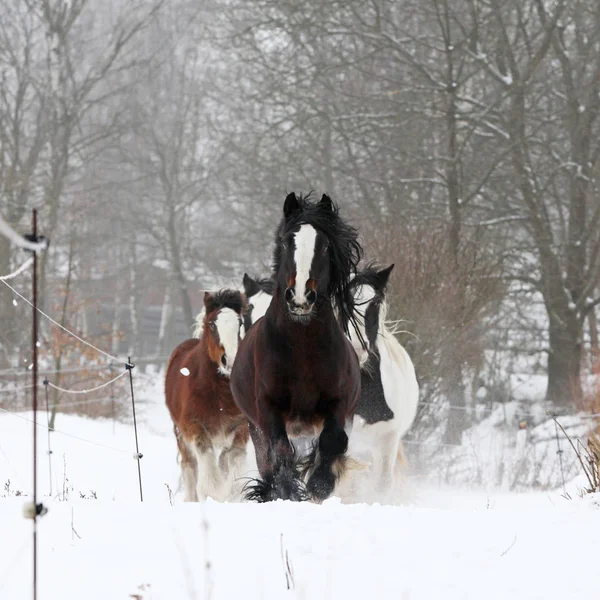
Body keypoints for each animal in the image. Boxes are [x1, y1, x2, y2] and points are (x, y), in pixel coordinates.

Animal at [164, 290, 248, 502]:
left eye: (240, 322)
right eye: (212, 324)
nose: (230, 360)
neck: (219, 394)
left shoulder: (241, 427)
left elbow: (233, 459)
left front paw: (229, 493)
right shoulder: (193, 426)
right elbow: (206, 460)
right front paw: (211, 494)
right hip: (180, 435)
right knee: (189, 466)